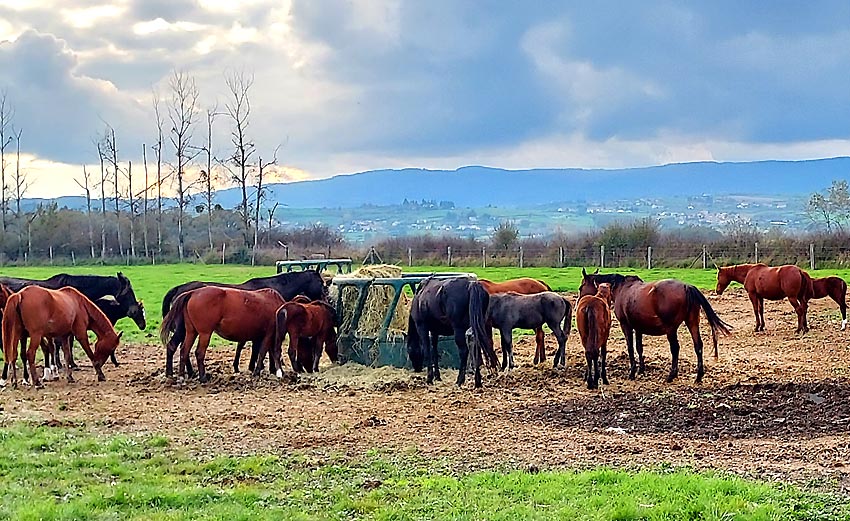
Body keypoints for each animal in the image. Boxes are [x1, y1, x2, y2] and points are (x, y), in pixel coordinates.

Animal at [158, 268, 324, 374]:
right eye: (321, 283)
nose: (324, 297)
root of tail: (182, 290)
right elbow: (260, 349)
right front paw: (261, 368)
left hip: (186, 329)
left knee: (176, 347)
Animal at [580, 268, 732, 382]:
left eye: (581, 286)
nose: (580, 302)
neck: (622, 289)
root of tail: (686, 286)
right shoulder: (638, 327)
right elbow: (639, 348)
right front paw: (641, 369)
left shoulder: (626, 326)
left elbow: (630, 348)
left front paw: (632, 372)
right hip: (692, 323)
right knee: (698, 345)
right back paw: (699, 376)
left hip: (671, 329)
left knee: (675, 348)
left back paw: (671, 375)